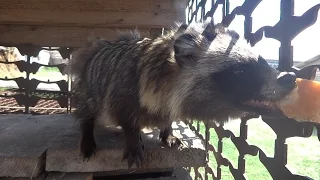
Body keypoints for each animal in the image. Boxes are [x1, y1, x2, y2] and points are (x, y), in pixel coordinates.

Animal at [69, 19, 296, 169]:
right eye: (240, 71)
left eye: (264, 62)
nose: (289, 78)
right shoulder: (124, 88)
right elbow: (126, 117)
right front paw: (132, 139)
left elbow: (167, 117)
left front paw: (167, 130)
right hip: (91, 88)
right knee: (89, 109)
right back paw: (87, 131)